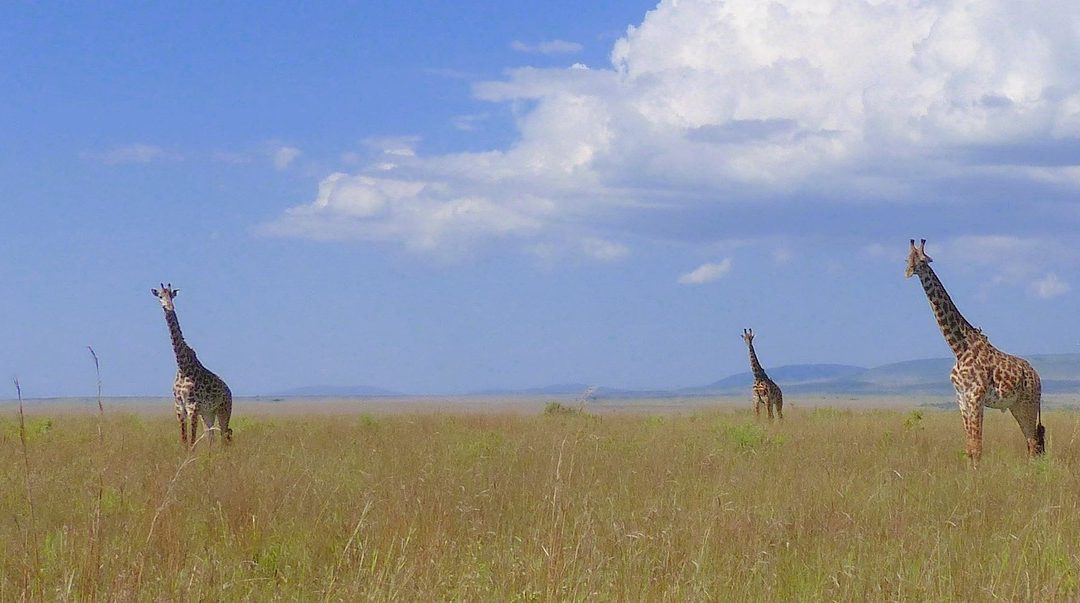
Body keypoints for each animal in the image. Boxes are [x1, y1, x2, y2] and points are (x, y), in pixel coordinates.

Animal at [151, 285, 233, 449]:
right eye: (160, 296)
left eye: (171, 296)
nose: (169, 307)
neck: (182, 367)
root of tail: (229, 392)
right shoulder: (179, 408)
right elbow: (184, 441)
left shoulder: (192, 407)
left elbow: (192, 442)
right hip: (208, 413)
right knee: (211, 436)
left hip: (224, 409)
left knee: (223, 437)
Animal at [902, 238, 1045, 464]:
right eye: (908, 258)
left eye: (922, 260)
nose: (908, 271)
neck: (958, 347)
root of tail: (1036, 376)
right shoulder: (962, 397)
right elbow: (969, 447)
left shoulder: (976, 395)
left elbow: (977, 447)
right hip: (1016, 405)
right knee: (1033, 442)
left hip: (1028, 403)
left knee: (1033, 442)